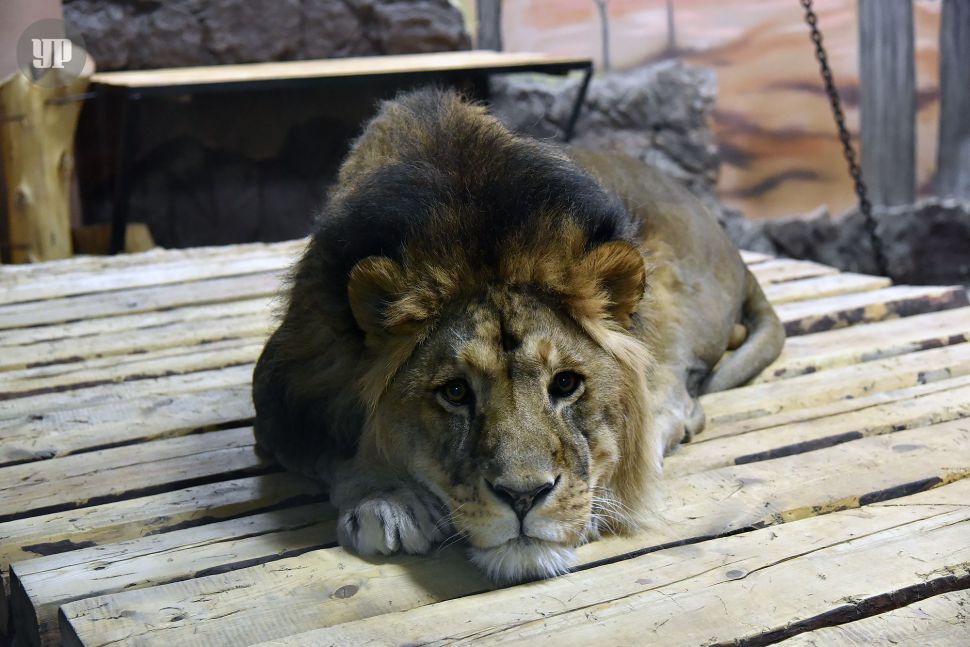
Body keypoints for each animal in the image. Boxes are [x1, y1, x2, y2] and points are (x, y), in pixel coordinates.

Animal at [252, 88, 784, 584]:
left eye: (566, 384)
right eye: (455, 392)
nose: (524, 496)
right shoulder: (285, 392)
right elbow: (334, 450)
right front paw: (384, 500)